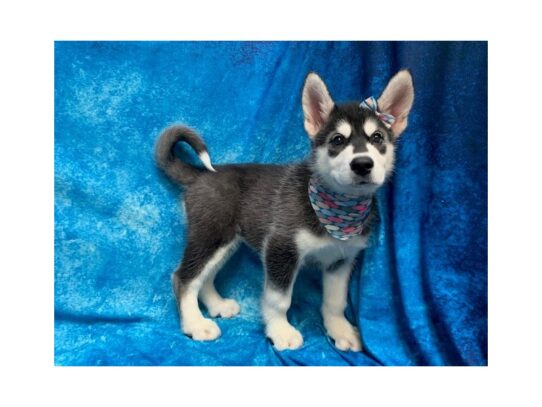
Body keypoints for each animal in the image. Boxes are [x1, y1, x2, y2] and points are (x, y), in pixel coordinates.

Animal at [155, 71, 414, 352]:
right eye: (337, 140)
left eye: (377, 138)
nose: (363, 164)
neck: (338, 207)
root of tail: (201, 174)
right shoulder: (281, 249)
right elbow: (279, 300)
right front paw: (280, 330)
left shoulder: (341, 260)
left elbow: (335, 302)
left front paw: (340, 329)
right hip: (211, 235)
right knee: (185, 277)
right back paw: (195, 324)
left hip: (226, 241)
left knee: (205, 277)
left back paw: (217, 305)